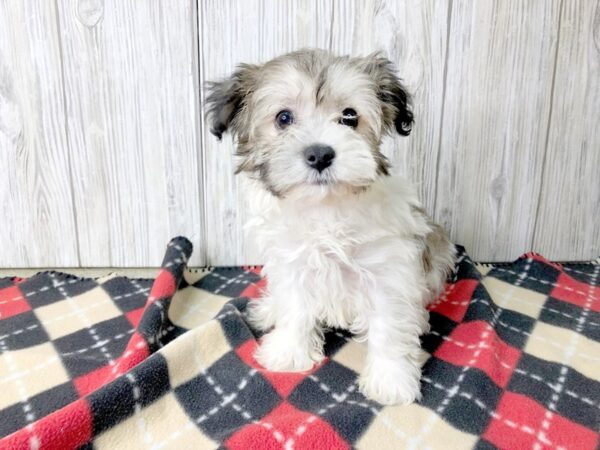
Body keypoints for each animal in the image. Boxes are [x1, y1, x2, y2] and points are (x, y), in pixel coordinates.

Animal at [206, 49, 454, 404]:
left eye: (349, 116)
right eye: (284, 118)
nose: (320, 154)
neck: (326, 207)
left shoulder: (388, 271)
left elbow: (389, 325)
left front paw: (391, 378)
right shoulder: (294, 262)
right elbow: (295, 307)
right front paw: (290, 352)